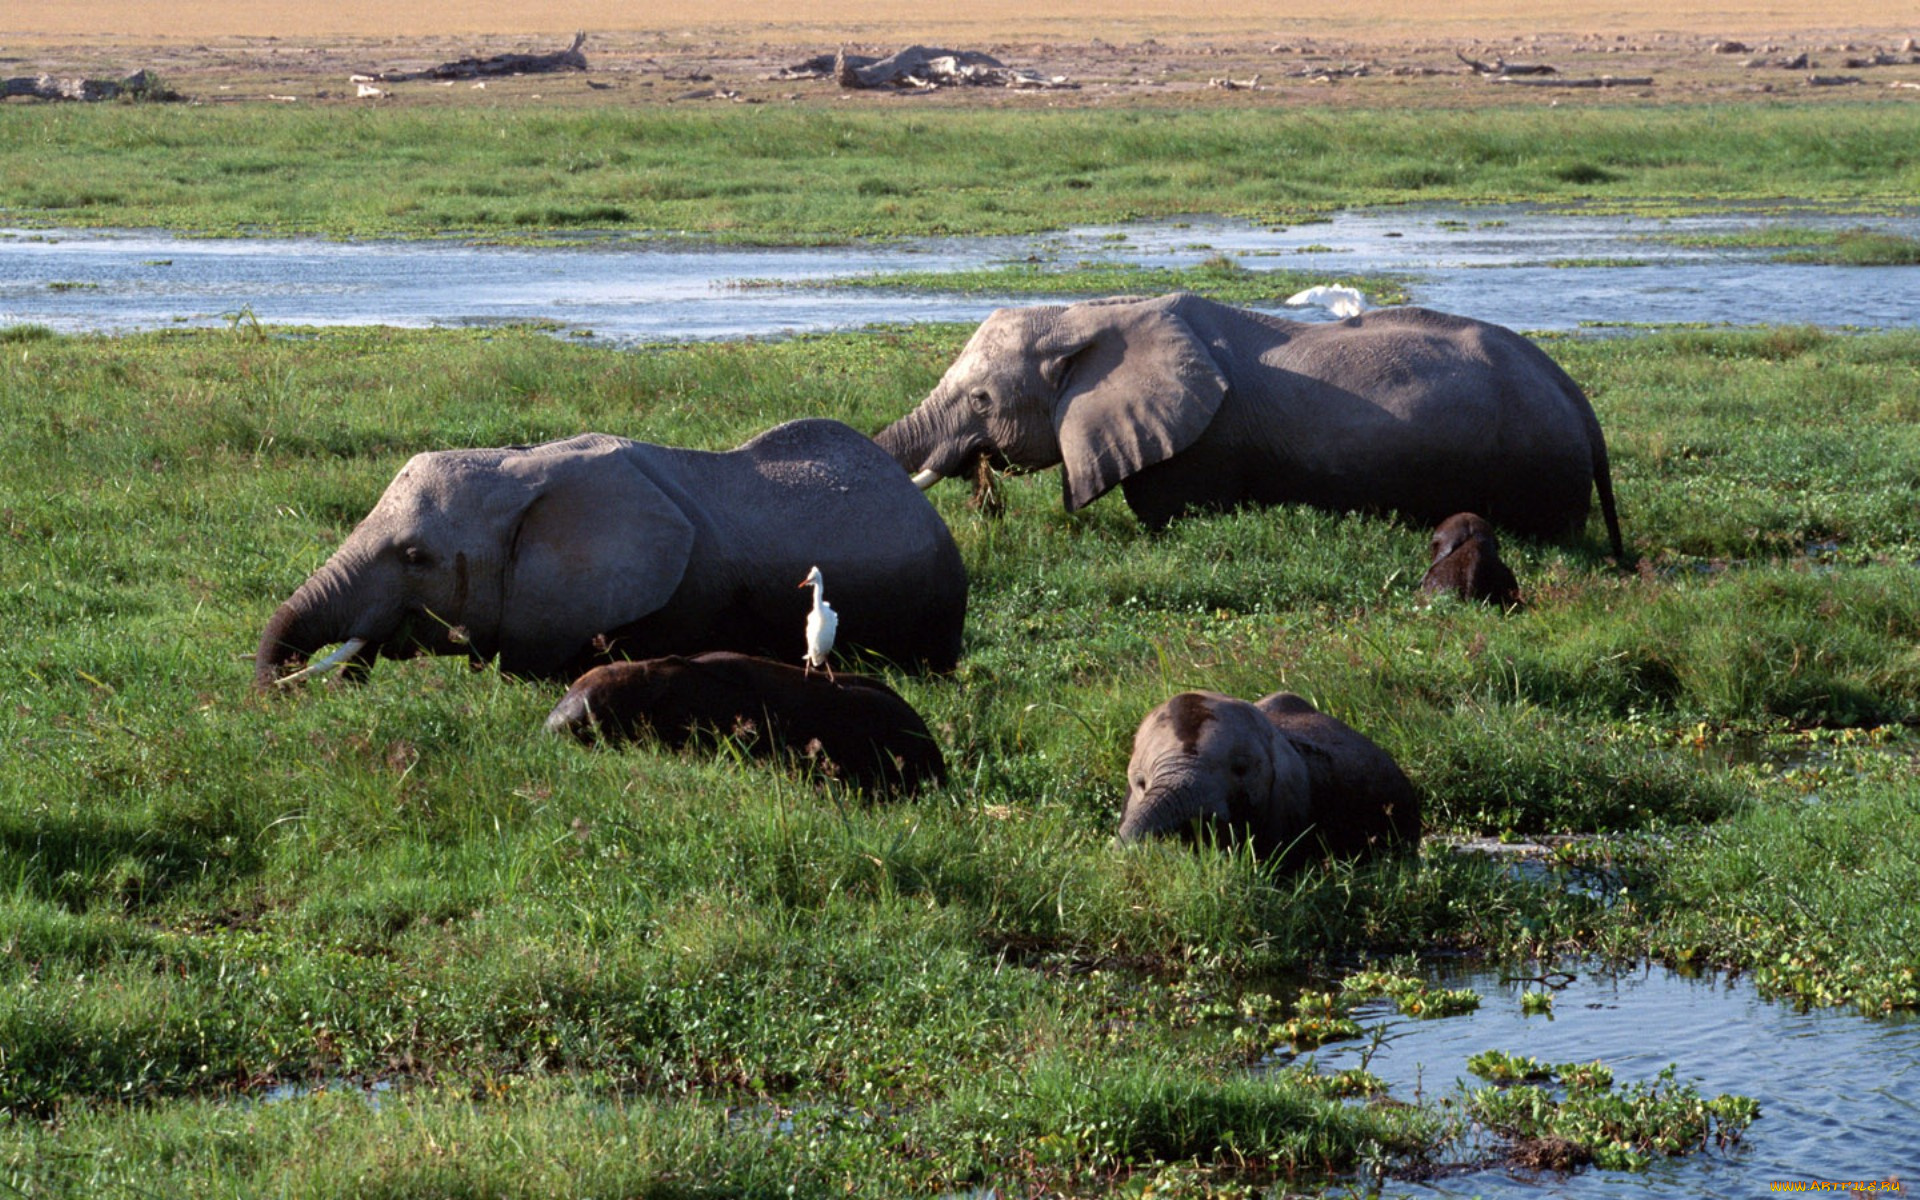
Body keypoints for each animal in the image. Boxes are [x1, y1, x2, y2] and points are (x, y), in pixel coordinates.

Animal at [879, 289, 1628, 556]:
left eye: (982, 401)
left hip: (1537, 467)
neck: (1088, 314)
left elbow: (1169, 516)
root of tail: (1575, 396)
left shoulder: (1199, 446)